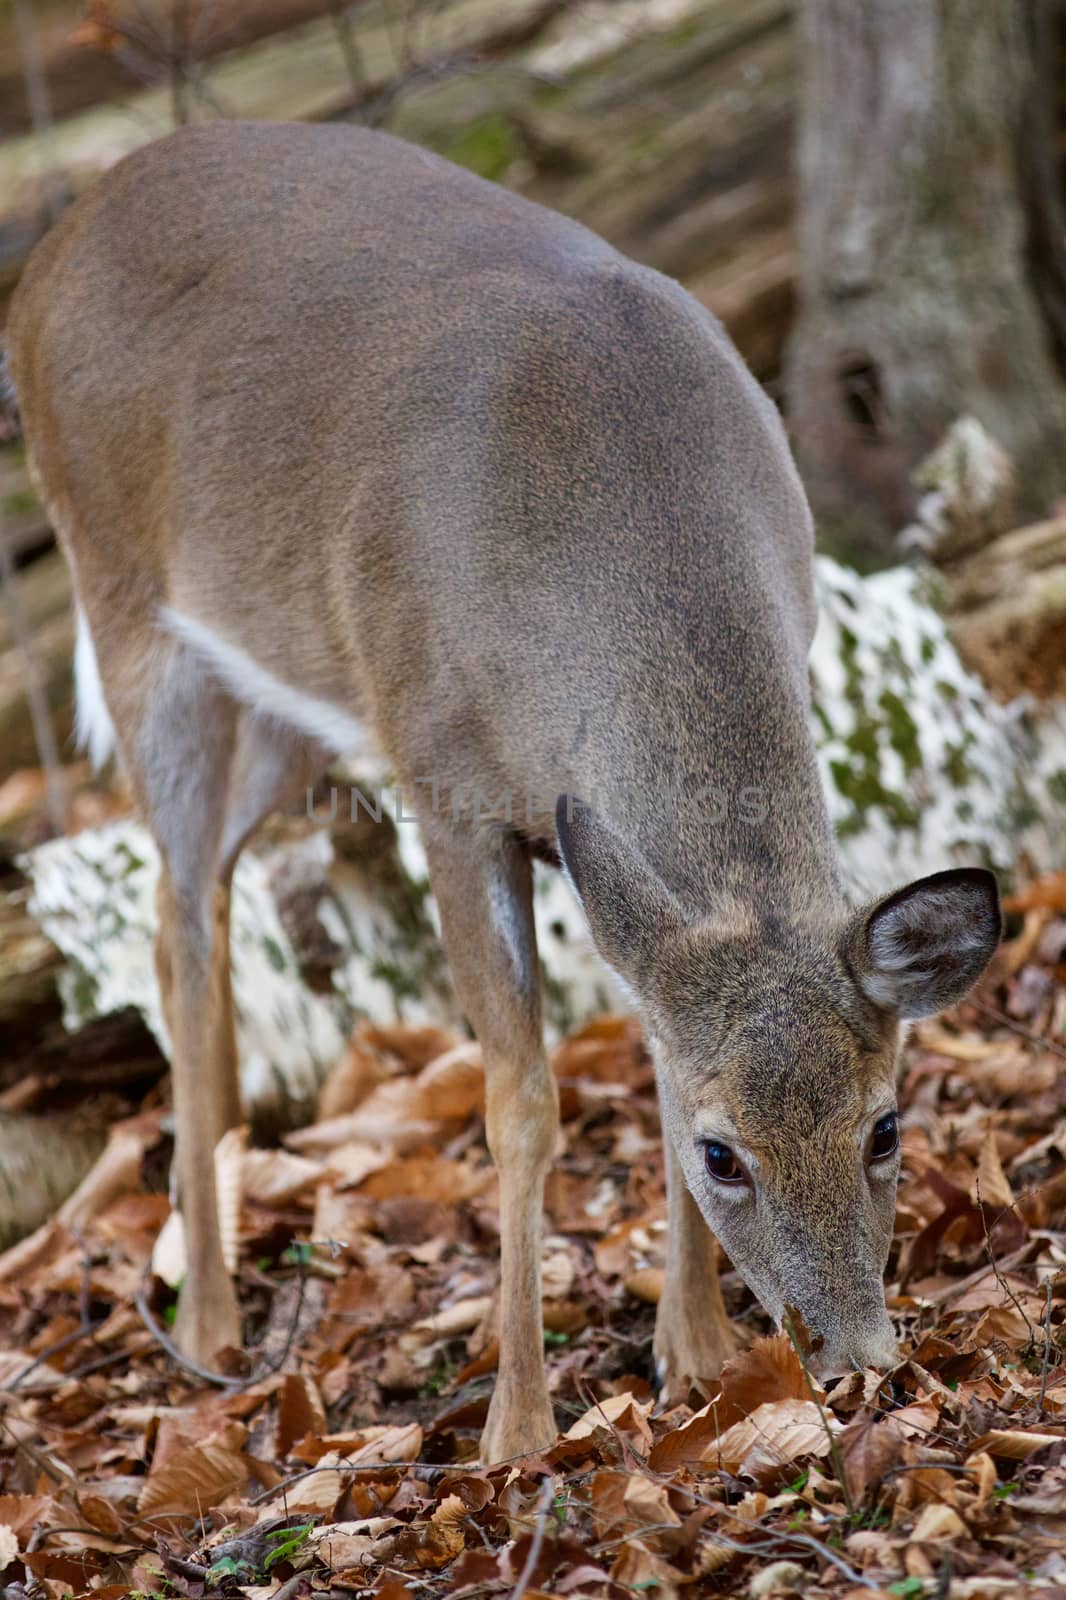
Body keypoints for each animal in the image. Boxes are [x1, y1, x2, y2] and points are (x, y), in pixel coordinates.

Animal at [8, 121, 998, 1465]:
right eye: (724, 1155)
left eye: (885, 1126)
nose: (855, 1358)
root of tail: (53, 244)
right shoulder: (445, 779)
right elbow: (520, 1098)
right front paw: (518, 1426)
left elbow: (649, 1040)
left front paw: (696, 1355)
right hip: (127, 608)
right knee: (175, 923)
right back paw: (210, 1322)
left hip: (285, 696)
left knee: (197, 900)